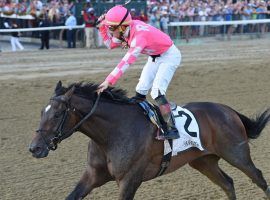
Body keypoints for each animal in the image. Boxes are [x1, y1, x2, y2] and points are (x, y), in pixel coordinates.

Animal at [29, 81, 270, 200]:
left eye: (57, 114)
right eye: (41, 112)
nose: (35, 148)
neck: (111, 134)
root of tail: (228, 110)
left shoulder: (129, 180)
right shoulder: (92, 176)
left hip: (236, 153)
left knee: (258, 178)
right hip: (203, 161)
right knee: (228, 184)